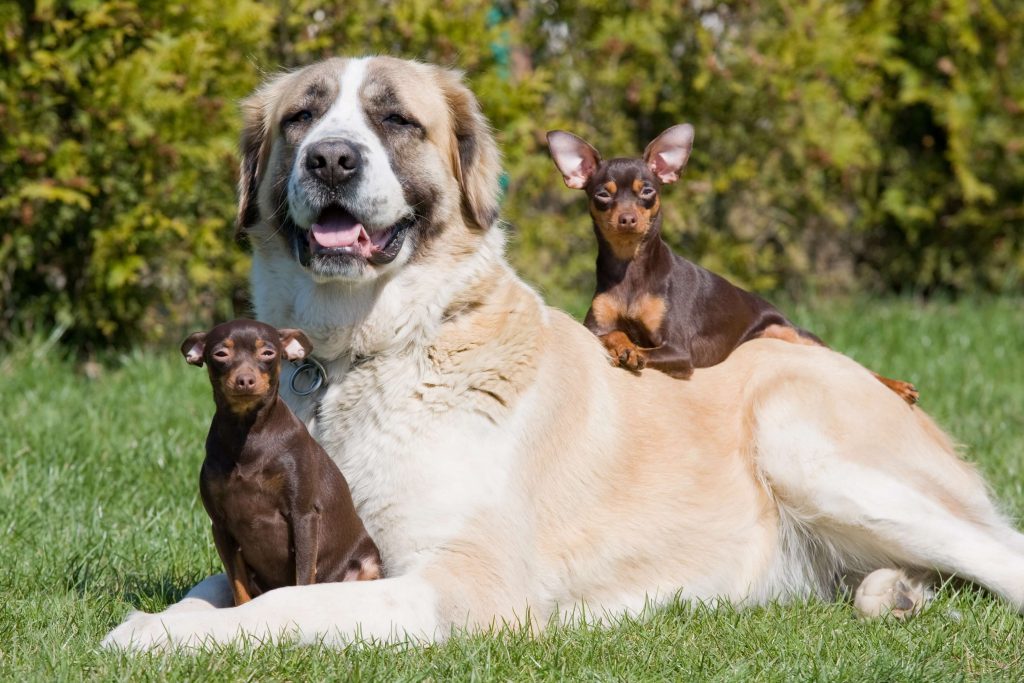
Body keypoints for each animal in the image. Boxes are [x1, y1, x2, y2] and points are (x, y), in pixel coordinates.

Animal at [180, 317, 380, 606]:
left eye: (267, 353)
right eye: (220, 354)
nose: (245, 380)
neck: (248, 434)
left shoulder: (304, 515)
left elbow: (302, 576)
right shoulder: (221, 526)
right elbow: (237, 585)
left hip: (366, 564)